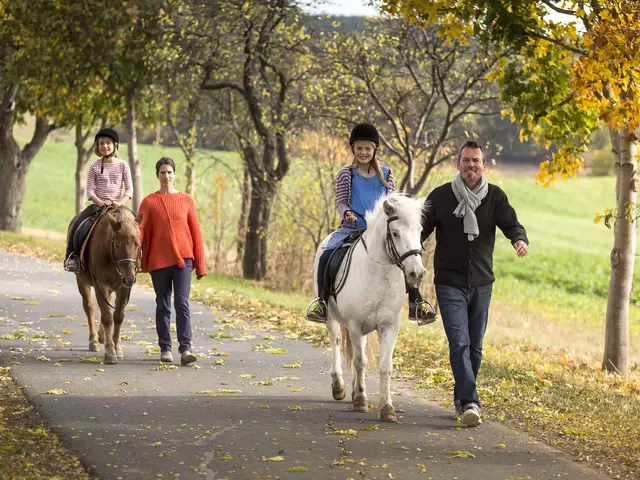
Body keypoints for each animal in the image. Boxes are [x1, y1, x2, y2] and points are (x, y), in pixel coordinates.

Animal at [75, 205, 144, 364]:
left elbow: (117, 316)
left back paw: (101, 336)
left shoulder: (123, 288)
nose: (129, 279)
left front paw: (117, 348)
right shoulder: (101, 285)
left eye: (137, 244)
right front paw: (110, 352)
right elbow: (107, 317)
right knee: (89, 307)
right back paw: (94, 340)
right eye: (117, 245)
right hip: (82, 282)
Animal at [314, 193, 424, 422]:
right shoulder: (355, 325)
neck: (379, 272)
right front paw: (361, 401)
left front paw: (387, 408)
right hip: (332, 319)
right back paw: (339, 387)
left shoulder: (389, 326)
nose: (416, 273)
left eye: (419, 231)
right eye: (395, 233)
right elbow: (360, 362)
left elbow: (384, 366)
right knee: (336, 341)